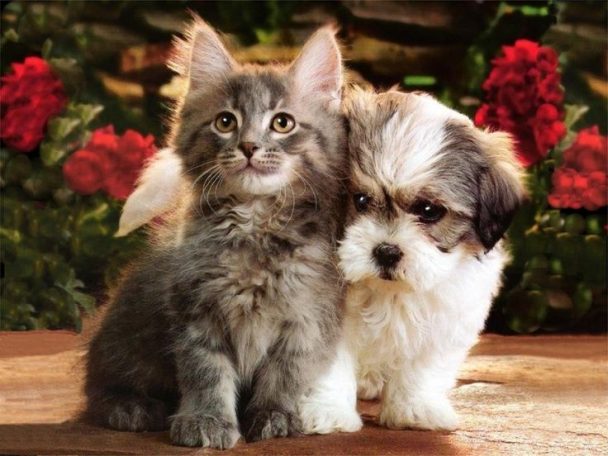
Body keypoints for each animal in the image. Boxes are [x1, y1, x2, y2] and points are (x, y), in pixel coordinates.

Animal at [87, 17, 350, 448]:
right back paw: (132, 408)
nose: (249, 146)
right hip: (127, 339)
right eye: (226, 121)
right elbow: (206, 373)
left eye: (283, 123)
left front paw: (274, 416)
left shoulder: (306, 317)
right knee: (99, 390)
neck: (254, 223)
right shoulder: (195, 310)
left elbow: (285, 374)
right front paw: (206, 421)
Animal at [340, 86, 524, 432]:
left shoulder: (446, 322)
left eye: (429, 211)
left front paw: (414, 410)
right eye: (360, 200)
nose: (386, 251)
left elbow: (422, 369)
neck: (392, 293)